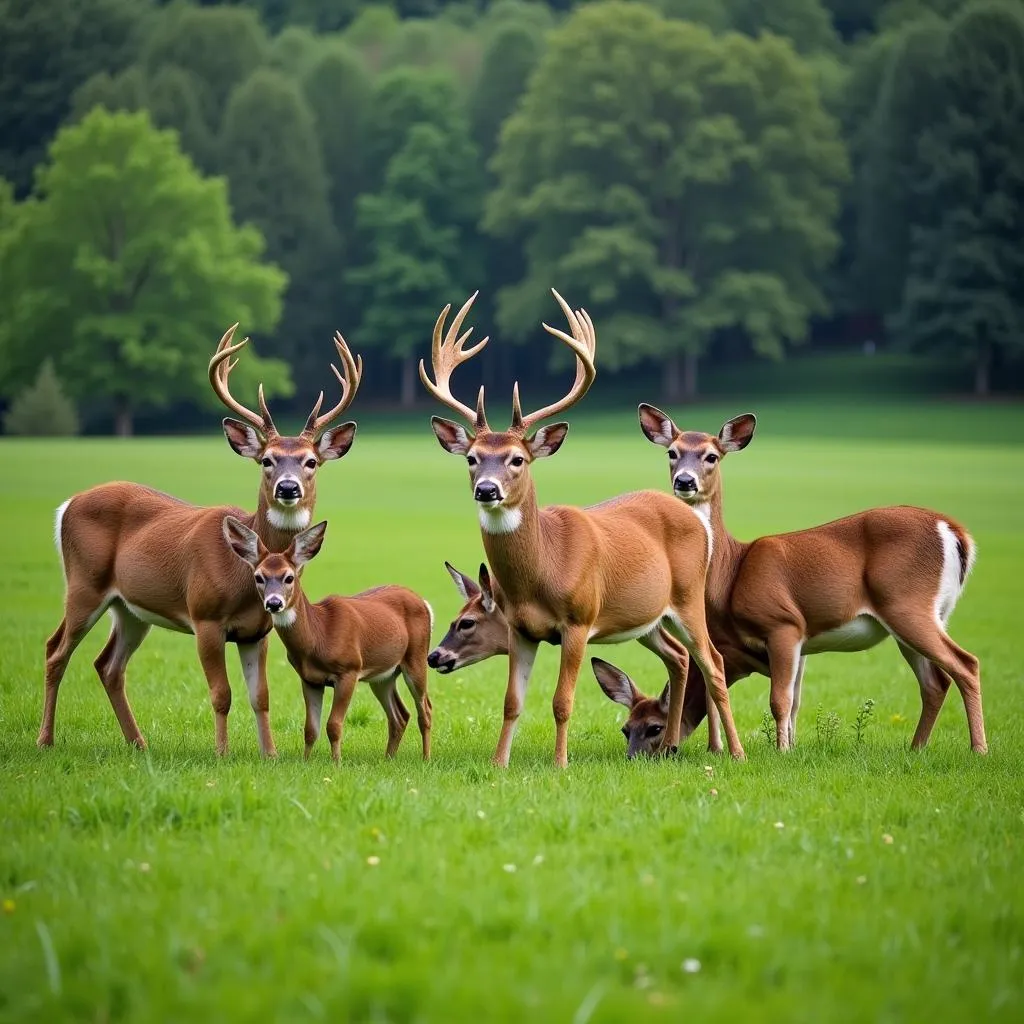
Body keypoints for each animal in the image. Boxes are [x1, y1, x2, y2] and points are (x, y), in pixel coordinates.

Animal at [39, 323, 364, 757]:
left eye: (311, 461)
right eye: (267, 460)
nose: (288, 487)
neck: (242, 577)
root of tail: (67, 505)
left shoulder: (257, 630)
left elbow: (260, 696)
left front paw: (271, 754)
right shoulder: (204, 616)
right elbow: (221, 693)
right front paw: (222, 753)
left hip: (130, 607)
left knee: (108, 665)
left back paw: (139, 743)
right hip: (84, 584)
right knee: (56, 650)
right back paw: (45, 739)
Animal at [222, 520, 434, 761]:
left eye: (289, 577)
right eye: (259, 577)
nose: (274, 603)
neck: (319, 635)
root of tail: (423, 602)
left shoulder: (350, 670)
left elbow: (333, 725)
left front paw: (337, 763)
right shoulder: (309, 679)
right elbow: (310, 729)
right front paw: (305, 762)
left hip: (416, 658)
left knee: (425, 709)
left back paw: (426, 758)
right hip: (383, 674)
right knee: (399, 715)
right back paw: (388, 758)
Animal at [419, 288, 749, 770]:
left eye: (518, 459)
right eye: (472, 458)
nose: (486, 489)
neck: (543, 568)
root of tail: (697, 519)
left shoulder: (578, 620)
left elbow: (562, 701)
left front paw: (559, 763)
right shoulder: (521, 629)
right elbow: (511, 702)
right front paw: (499, 763)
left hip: (689, 597)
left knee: (715, 662)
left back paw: (734, 751)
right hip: (647, 618)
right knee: (678, 659)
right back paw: (670, 745)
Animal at [634, 405, 987, 753]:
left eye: (711, 456)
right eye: (672, 452)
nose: (685, 481)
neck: (731, 571)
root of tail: (955, 532)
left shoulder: (783, 623)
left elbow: (779, 700)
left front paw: (781, 752)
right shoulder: (798, 644)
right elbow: (793, 702)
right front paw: (783, 747)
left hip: (907, 603)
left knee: (966, 664)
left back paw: (978, 750)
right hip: (918, 617)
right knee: (935, 682)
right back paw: (916, 749)